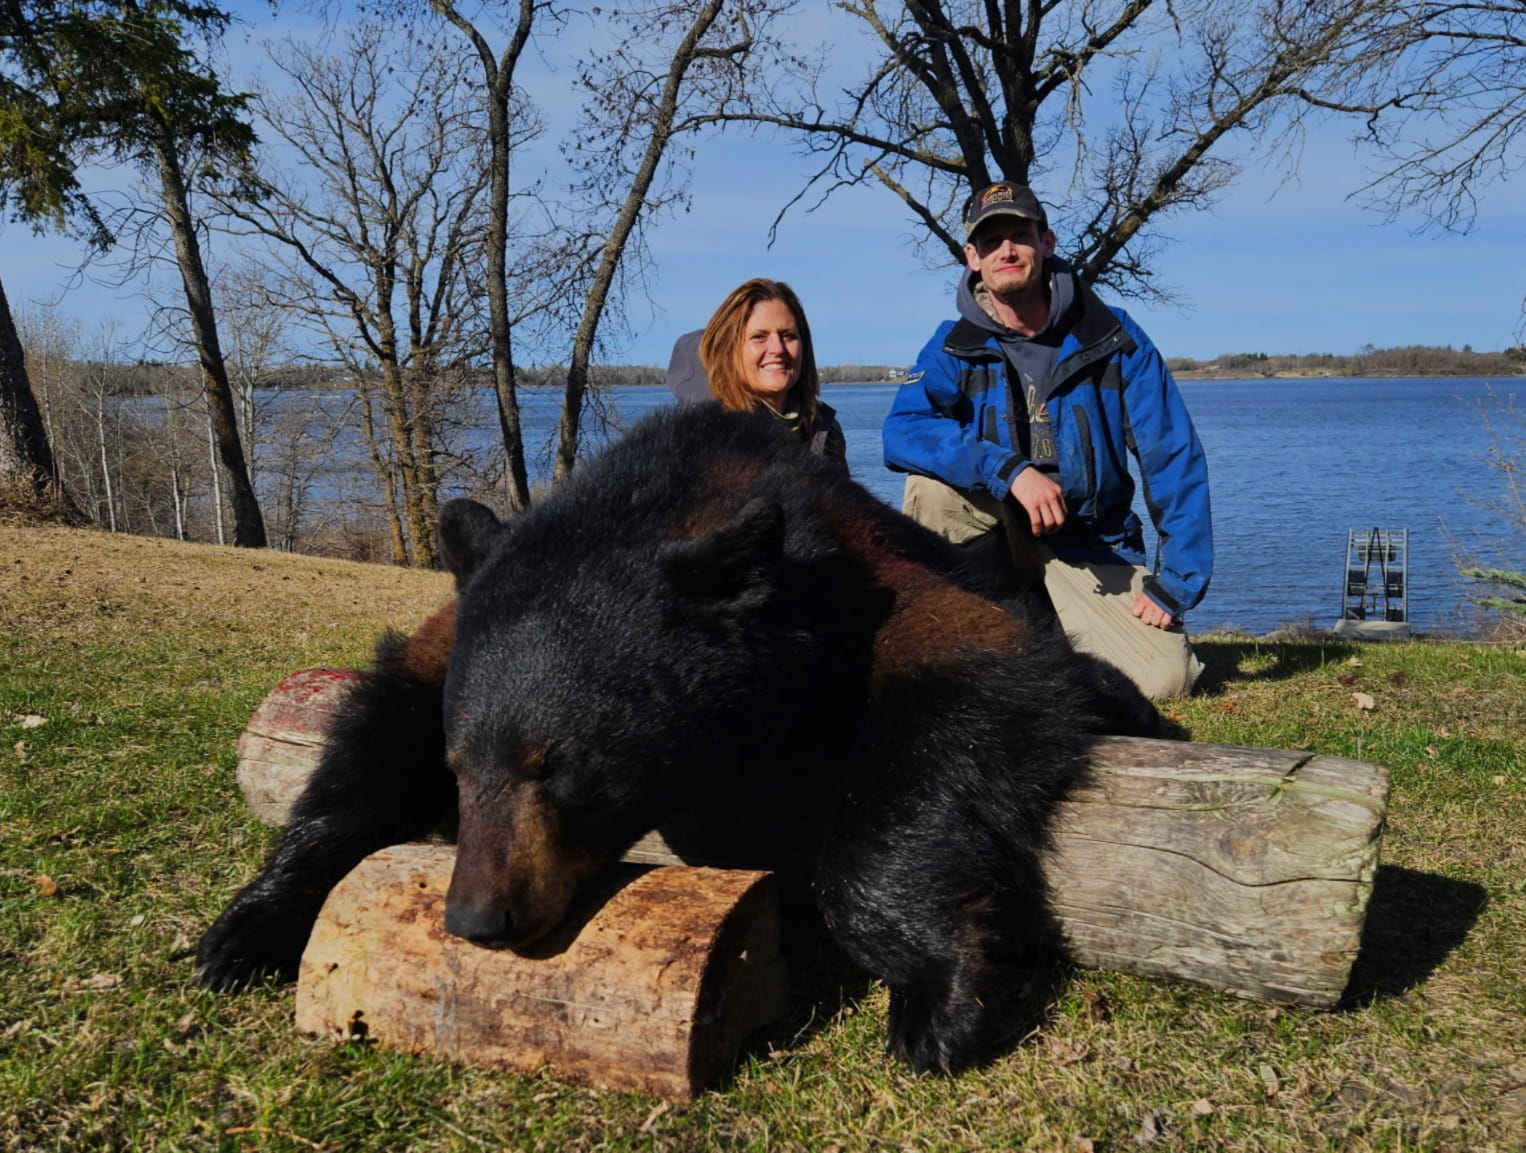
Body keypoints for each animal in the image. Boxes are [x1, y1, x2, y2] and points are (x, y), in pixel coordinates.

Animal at [197, 403, 1178, 1074]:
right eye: (461, 765)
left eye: (559, 765)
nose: (479, 916)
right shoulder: (447, 646)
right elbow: (368, 747)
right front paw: (247, 925)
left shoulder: (875, 587)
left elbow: (959, 692)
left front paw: (938, 999)